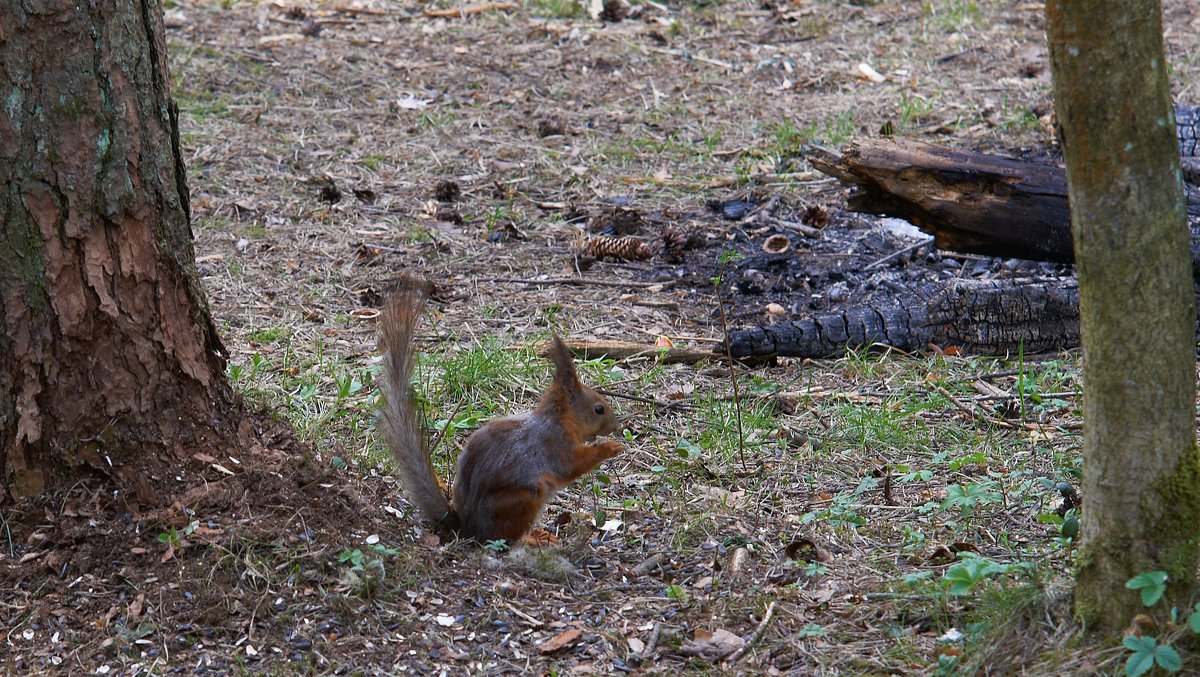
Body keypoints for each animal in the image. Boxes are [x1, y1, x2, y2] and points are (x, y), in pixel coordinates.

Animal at [379, 273, 624, 540]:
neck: (558, 419)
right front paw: (610, 447)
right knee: (508, 538)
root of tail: (469, 529)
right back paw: (535, 538)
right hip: (524, 497)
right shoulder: (554, 445)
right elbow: (573, 465)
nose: (615, 426)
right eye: (598, 409)